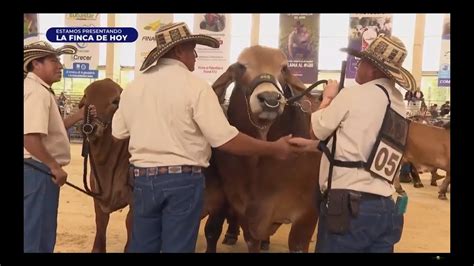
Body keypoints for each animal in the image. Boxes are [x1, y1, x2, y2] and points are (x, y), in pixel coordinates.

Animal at [78, 78, 132, 251]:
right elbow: (101, 223)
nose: (90, 127)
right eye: (86, 97)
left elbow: (130, 224)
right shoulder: (97, 196)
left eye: (115, 101)